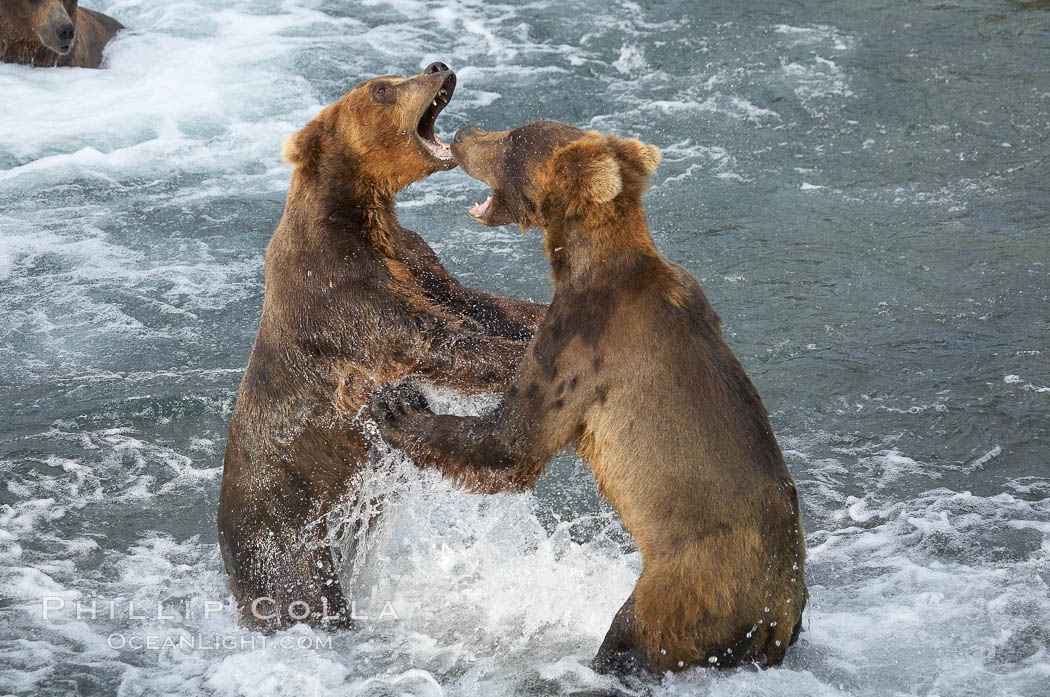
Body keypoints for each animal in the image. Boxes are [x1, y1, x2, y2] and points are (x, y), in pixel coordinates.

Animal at [218, 64, 547, 630]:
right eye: (381, 89)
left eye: (394, 77)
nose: (438, 67)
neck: (359, 216)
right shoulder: (338, 292)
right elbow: (431, 340)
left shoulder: (415, 262)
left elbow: (483, 307)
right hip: (283, 537)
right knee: (302, 596)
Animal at [369, 121, 807, 674]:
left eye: (513, 139)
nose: (467, 131)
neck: (582, 263)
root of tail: (780, 612)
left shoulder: (580, 346)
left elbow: (514, 439)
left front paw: (398, 408)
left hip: (686, 587)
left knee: (631, 635)